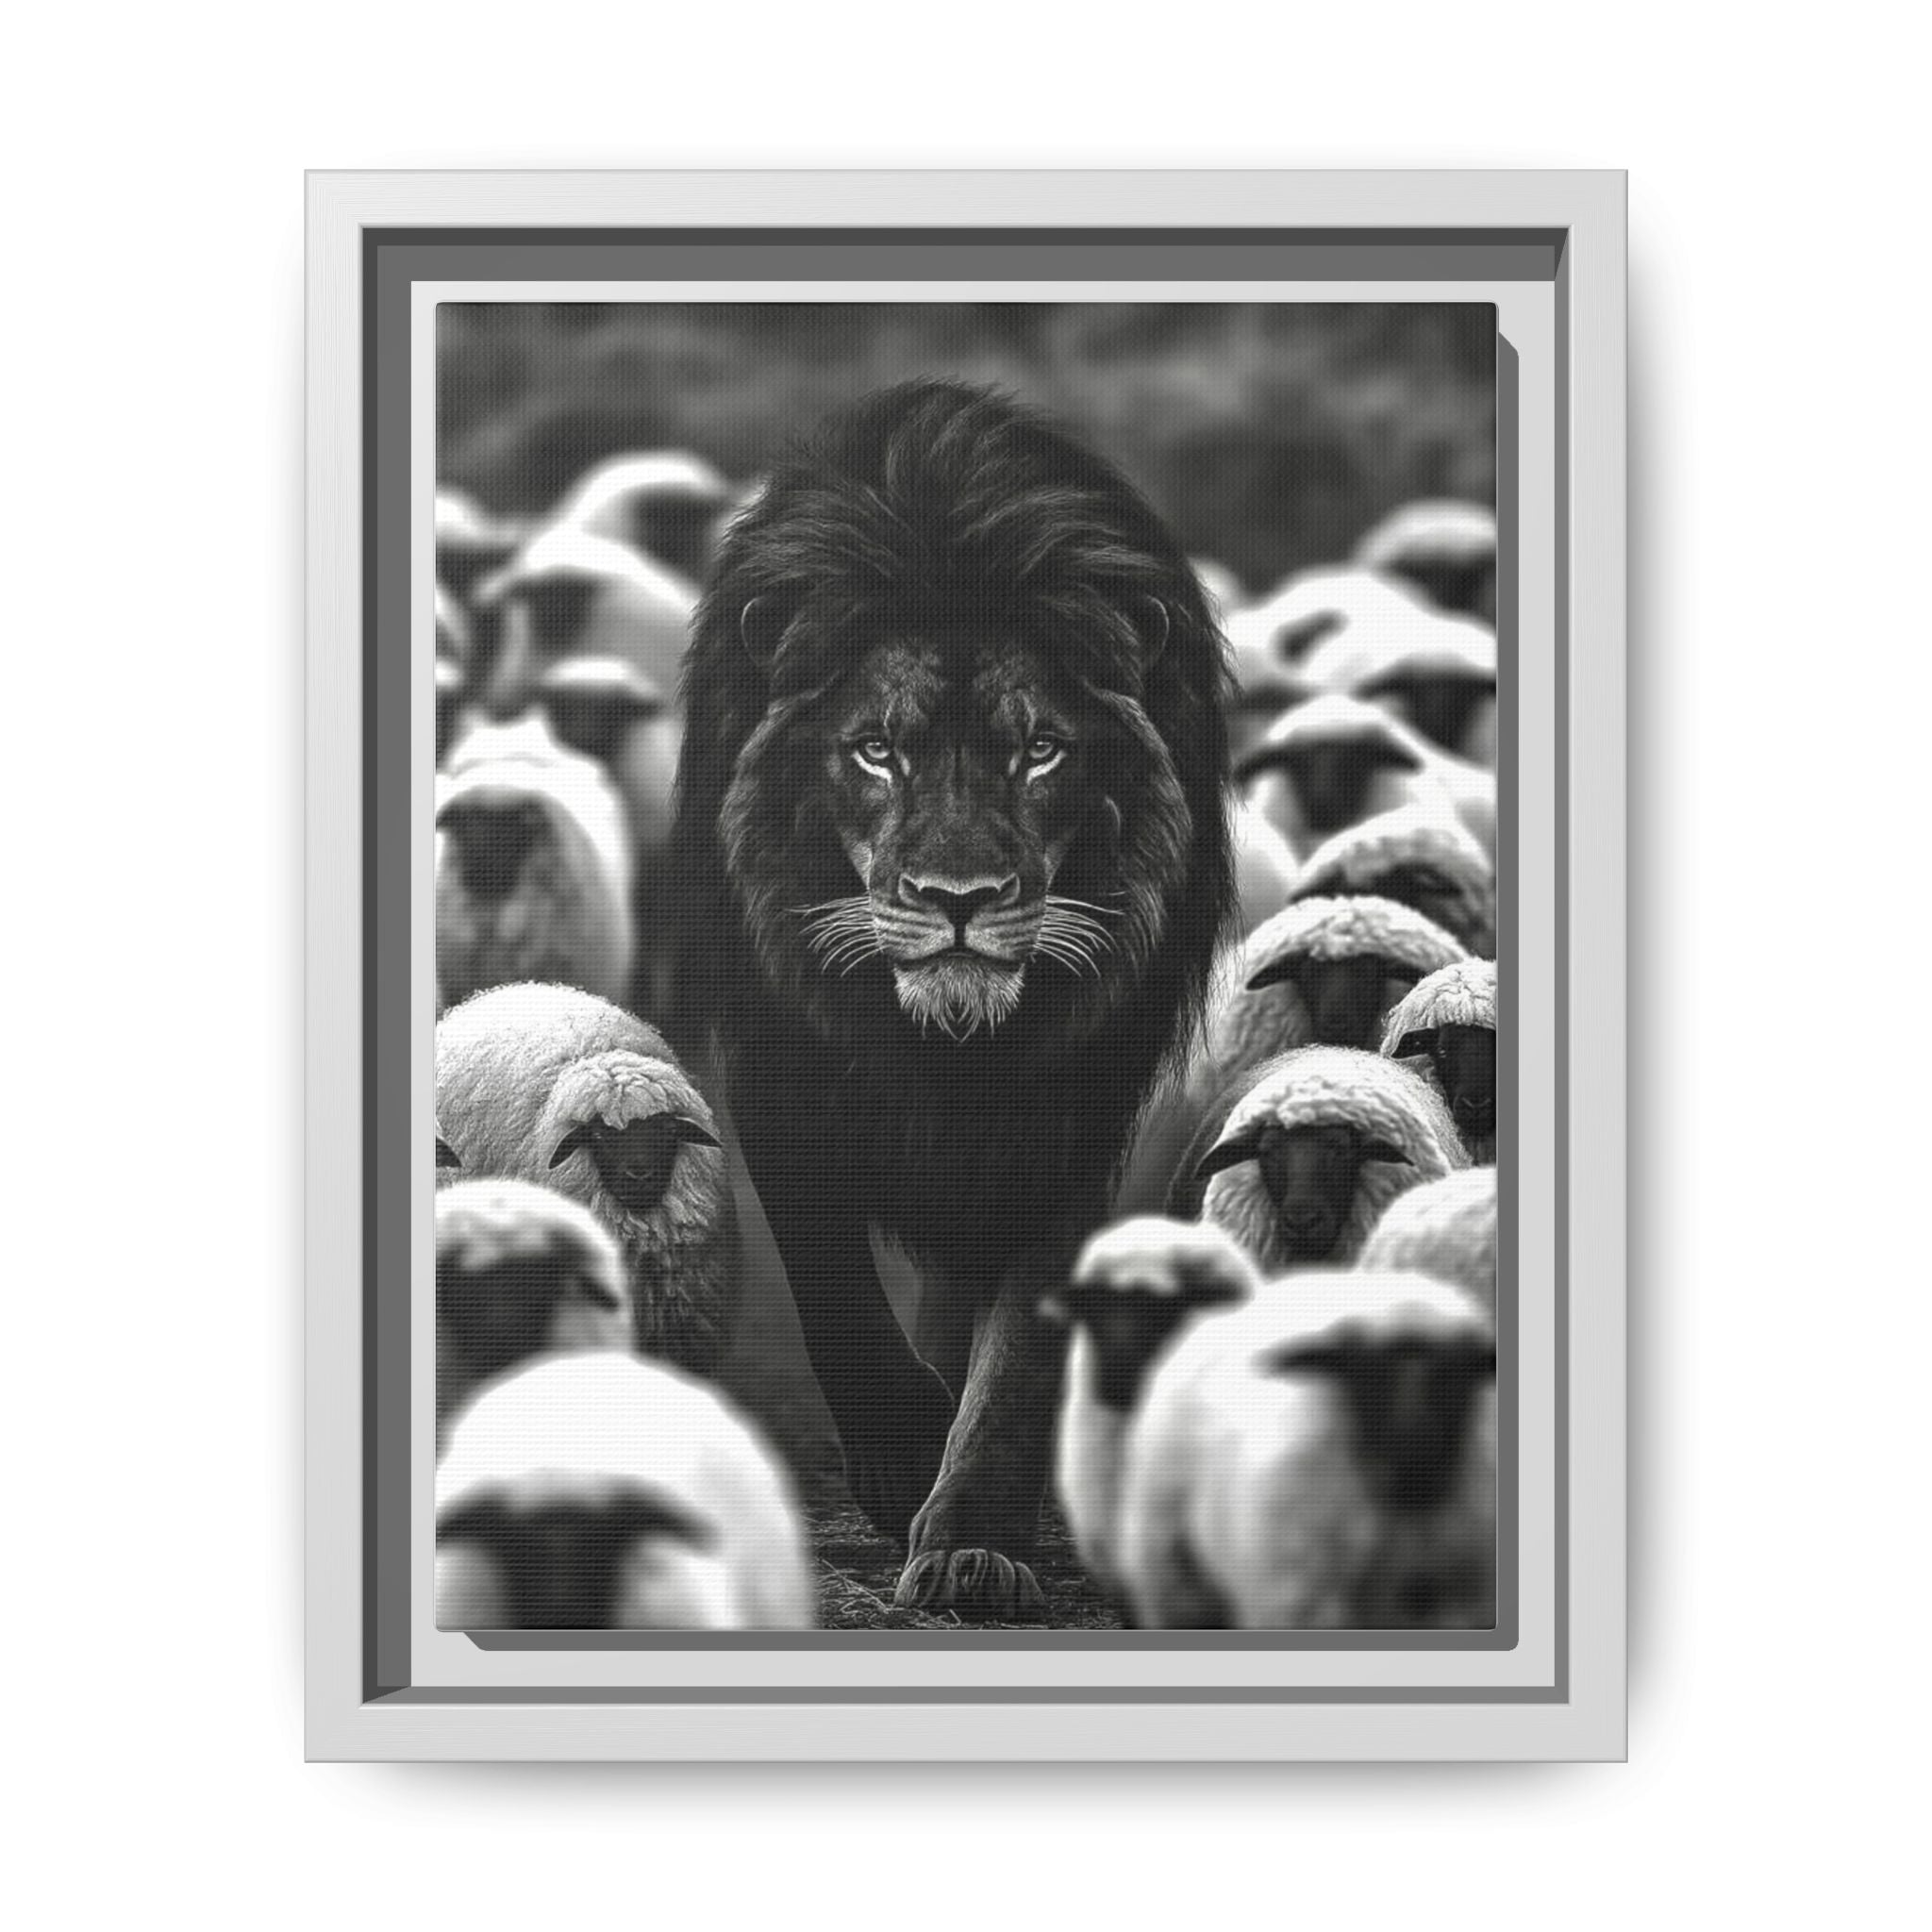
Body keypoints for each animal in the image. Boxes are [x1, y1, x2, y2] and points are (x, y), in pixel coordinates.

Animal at [667, 381, 1234, 1616]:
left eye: (1041, 750)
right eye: (877, 748)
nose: (959, 898)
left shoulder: (1071, 1096)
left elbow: (1019, 1338)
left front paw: (974, 1539)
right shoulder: (780, 1058)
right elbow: (829, 1272)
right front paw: (902, 1454)